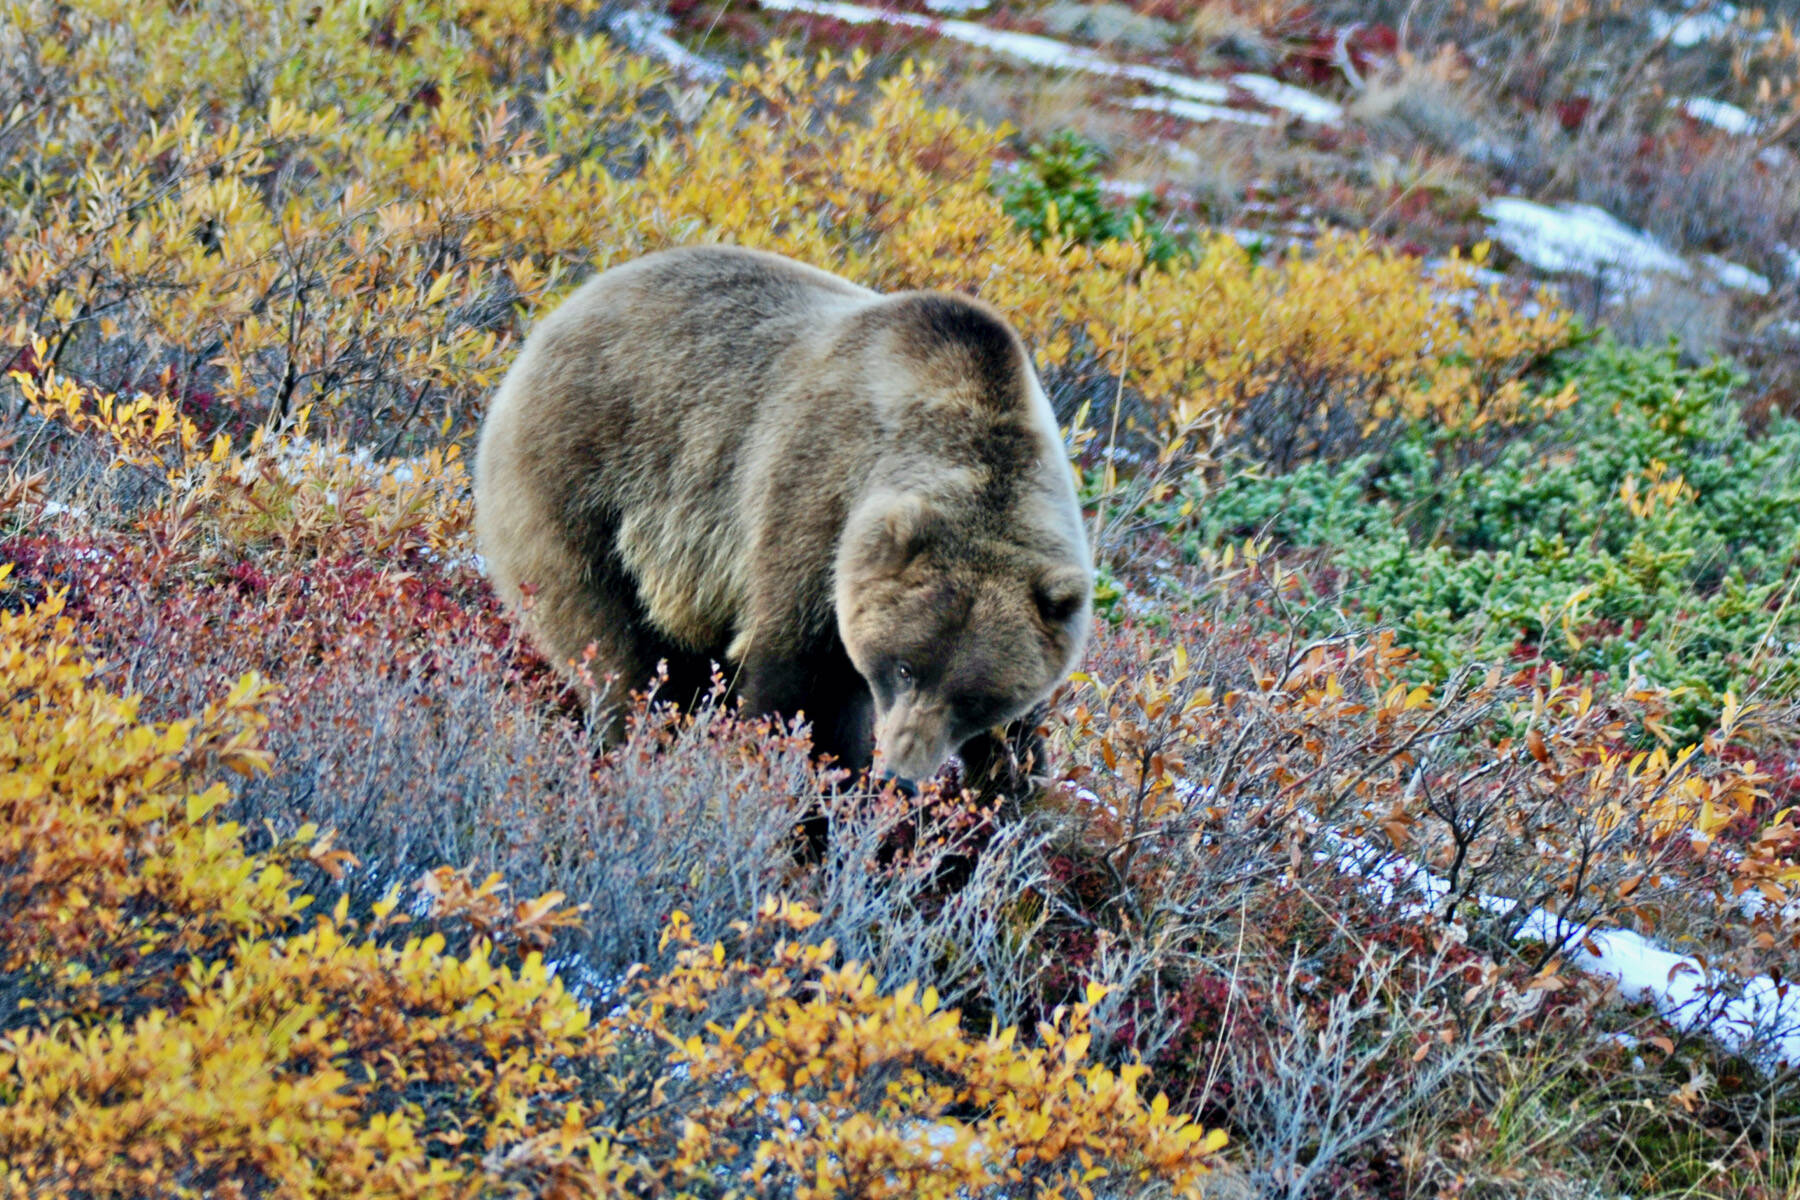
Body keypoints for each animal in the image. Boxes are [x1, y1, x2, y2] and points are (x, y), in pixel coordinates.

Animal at [478, 246, 1087, 798]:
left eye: (976, 697)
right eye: (904, 667)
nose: (902, 774)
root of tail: (556, 315)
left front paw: (1013, 780)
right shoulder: (812, 505)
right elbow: (799, 687)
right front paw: (816, 792)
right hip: (584, 483)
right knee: (617, 647)